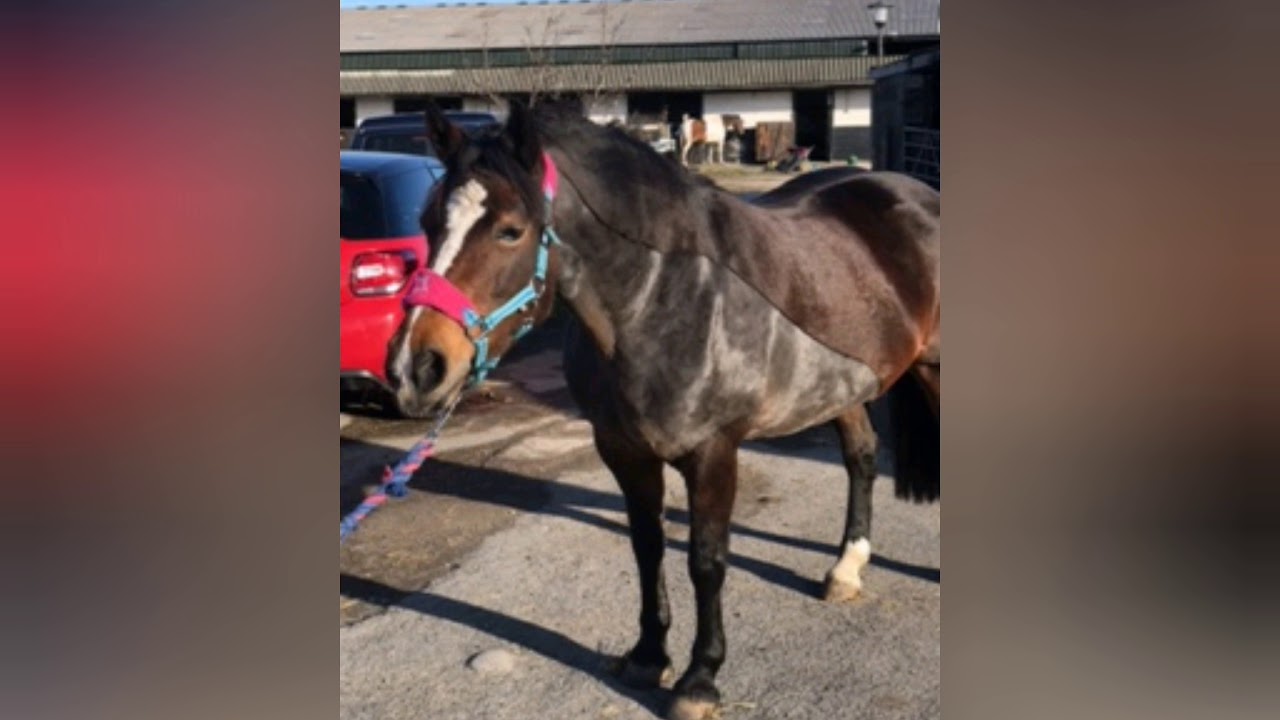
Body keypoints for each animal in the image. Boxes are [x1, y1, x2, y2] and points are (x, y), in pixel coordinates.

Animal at [387, 101, 939, 720]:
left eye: (511, 230)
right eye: (428, 222)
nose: (416, 368)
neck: (663, 296)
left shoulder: (713, 453)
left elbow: (706, 560)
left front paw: (700, 678)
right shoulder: (624, 452)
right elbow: (647, 547)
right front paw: (650, 656)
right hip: (843, 384)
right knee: (862, 457)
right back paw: (846, 567)